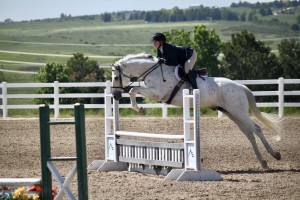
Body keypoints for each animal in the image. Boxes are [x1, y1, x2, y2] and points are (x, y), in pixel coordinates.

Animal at [110, 52, 282, 169]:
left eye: (116, 78)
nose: (115, 95)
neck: (152, 70)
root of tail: (240, 86)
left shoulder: (157, 93)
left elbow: (133, 90)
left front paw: (140, 109)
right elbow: (133, 90)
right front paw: (139, 108)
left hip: (239, 112)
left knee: (257, 129)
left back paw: (275, 154)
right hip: (232, 114)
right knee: (249, 134)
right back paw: (263, 162)